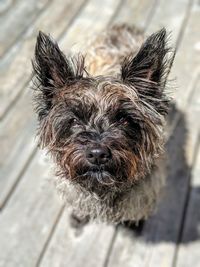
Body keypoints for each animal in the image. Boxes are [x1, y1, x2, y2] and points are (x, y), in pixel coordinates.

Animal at [31, 24, 175, 226]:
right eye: (74, 120)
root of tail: (123, 26)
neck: (102, 190)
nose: (97, 154)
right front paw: (78, 216)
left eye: (124, 119)